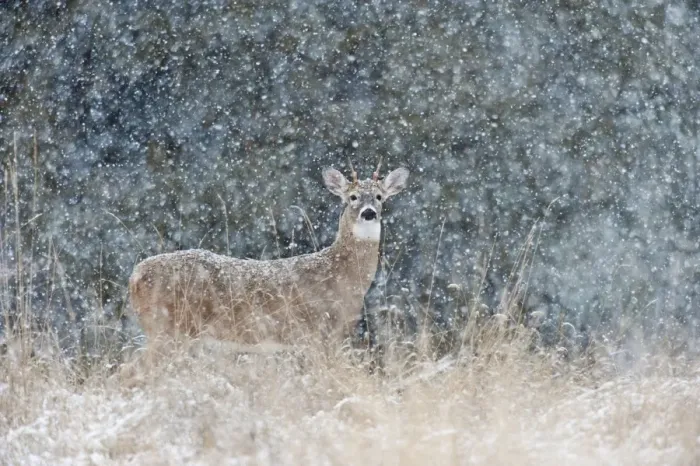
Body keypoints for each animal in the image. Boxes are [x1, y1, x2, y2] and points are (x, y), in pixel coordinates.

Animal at [128, 162, 409, 350]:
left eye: (379, 196)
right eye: (352, 197)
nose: (369, 212)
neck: (341, 275)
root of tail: (135, 275)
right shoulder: (316, 331)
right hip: (166, 328)